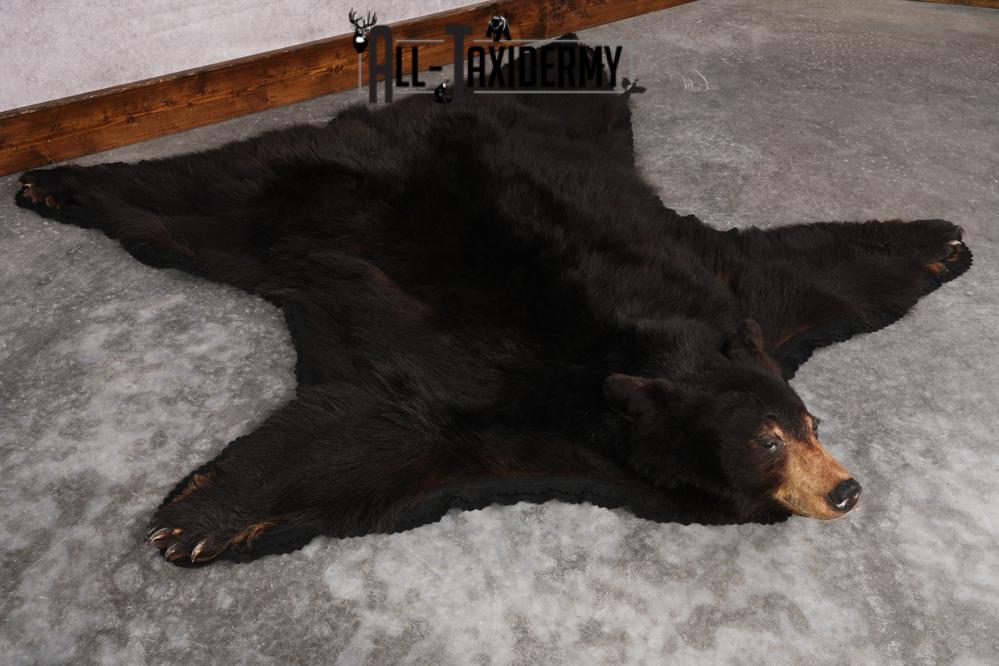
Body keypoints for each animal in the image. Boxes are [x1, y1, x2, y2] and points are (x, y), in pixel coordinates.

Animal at [14, 45, 972, 565]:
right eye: (767, 442)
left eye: (809, 423)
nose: (845, 488)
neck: (638, 366)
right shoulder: (500, 399)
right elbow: (380, 436)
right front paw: (198, 521)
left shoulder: (732, 303)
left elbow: (811, 275)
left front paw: (942, 242)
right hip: (293, 196)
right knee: (195, 196)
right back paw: (52, 182)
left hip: (561, 136)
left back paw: (571, 53)